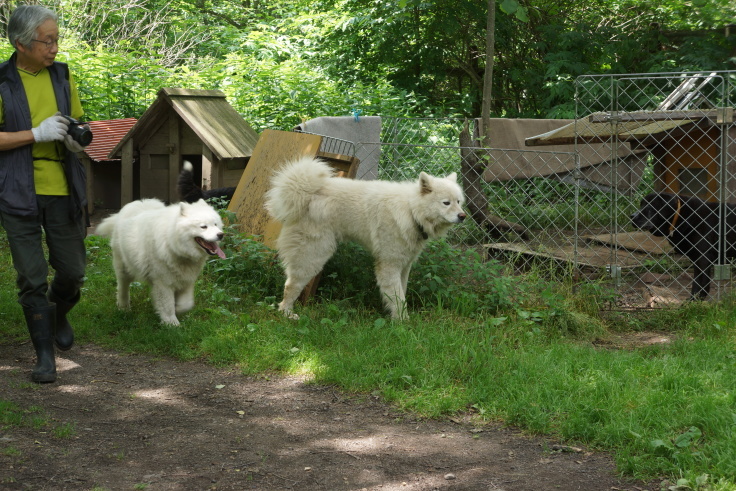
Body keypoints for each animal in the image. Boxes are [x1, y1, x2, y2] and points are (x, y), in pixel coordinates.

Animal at [96, 198, 226, 328]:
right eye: (203, 227)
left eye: (215, 224)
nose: (221, 235)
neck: (173, 244)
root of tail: (137, 203)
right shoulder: (163, 283)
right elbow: (167, 306)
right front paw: (171, 324)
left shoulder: (186, 280)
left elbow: (187, 304)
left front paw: (178, 309)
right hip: (124, 268)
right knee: (122, 287)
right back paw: (123, 307)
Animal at [266, 156, 466, 320]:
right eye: (446, 203)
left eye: (458, 202)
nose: (463, 216)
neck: (411, 210)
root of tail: (306, 193)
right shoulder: (389, 265)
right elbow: (398, 298)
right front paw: (403, 322)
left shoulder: (404, 265)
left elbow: (401, 292)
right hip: (313, 254)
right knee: (291, 285)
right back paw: (287, 312)